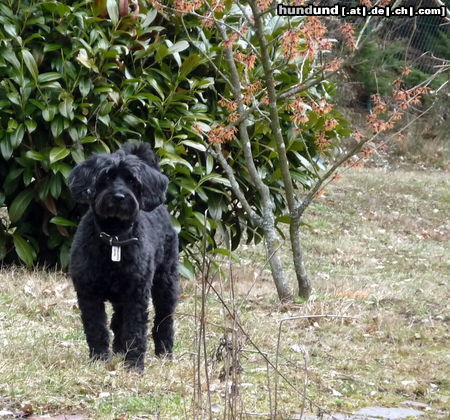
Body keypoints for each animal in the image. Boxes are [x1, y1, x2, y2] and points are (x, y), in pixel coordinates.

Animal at [68, 142, 178, 370]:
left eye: (132, 180)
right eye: (106, 177)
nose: (119, 197)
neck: (114, 237)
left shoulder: (137, 294)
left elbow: (135, 329)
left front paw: (134, 365)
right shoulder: (88, 293)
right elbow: (96, 327)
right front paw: (99, 358)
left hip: (166, 282)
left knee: (164, 318)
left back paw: (164, 352)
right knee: (117, 320)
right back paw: (119, 348)